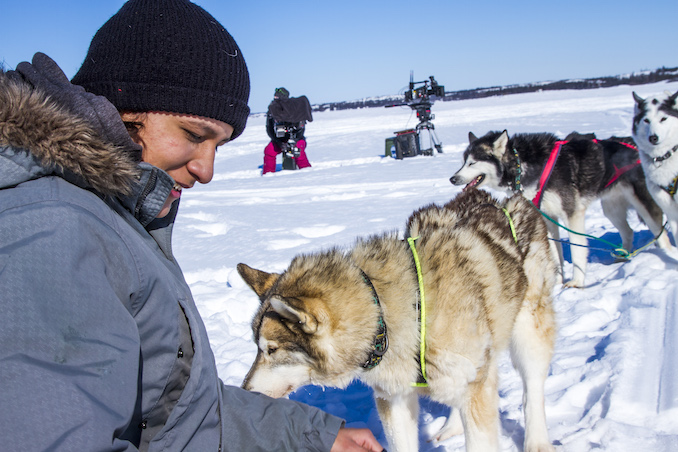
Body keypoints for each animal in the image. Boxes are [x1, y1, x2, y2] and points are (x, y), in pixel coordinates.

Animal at [239, 190, 556, 452]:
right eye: (256, 347)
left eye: (271, 350)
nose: (244, 392)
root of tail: (500, 199)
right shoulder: (394, 399)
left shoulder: (474, 391)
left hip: (528, 337)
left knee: (532, 392)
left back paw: (537, 443)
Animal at [448, 129, 672, 288]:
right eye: (463, 162)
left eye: (473, 163)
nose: (452, 178)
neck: (523, 167)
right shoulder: (547, 217)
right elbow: (555, 253)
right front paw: (555, 282)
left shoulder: (572, 215)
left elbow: (577, 249)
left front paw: (577, 283)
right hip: (611, 208)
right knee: (629, 231)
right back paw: (624, 256)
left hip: (644, 203)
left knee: (661, 234)